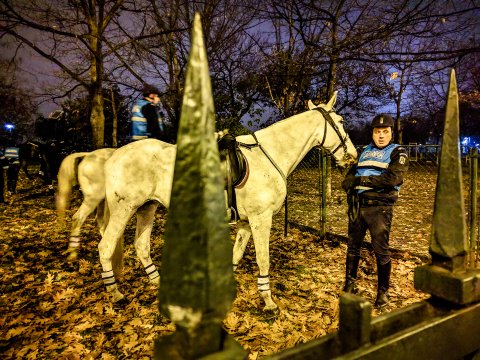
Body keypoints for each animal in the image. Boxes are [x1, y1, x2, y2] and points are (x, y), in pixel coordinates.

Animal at [98, 93, 356, 310]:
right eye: (341, 120)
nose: (352, 156)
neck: (268, 155)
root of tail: (113, 155)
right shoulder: (261, 219)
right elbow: (263, 259)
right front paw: (268, 301)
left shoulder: (246, 223)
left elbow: (236, 255)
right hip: (124, 209)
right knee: (106, 247)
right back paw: (115, 293)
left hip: (147, 208)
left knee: (141, 246)